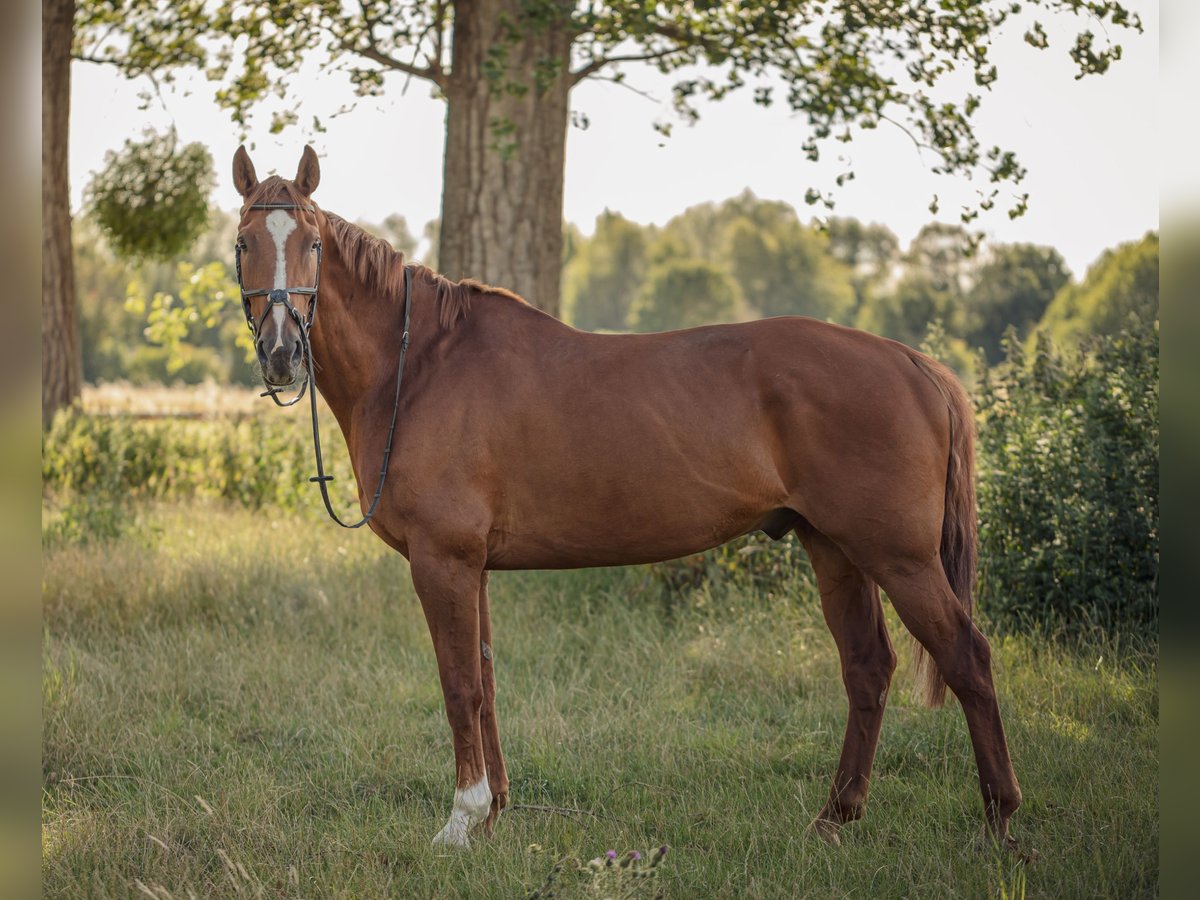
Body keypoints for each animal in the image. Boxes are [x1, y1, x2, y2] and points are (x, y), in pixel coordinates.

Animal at [229, 146, 1017, 854]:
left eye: (312, 243)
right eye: (243, 243)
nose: (280, 353)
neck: (420, 367)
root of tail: (910, 362)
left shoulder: (442, 562)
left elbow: (458, 685)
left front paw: (460, 821)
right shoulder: (471, 567)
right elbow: (485, 681)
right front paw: (494, 813)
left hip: (899, 557)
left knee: (966, 658)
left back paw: (999, 821)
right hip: (836, 550)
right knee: (867, 666)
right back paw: (835, 817)